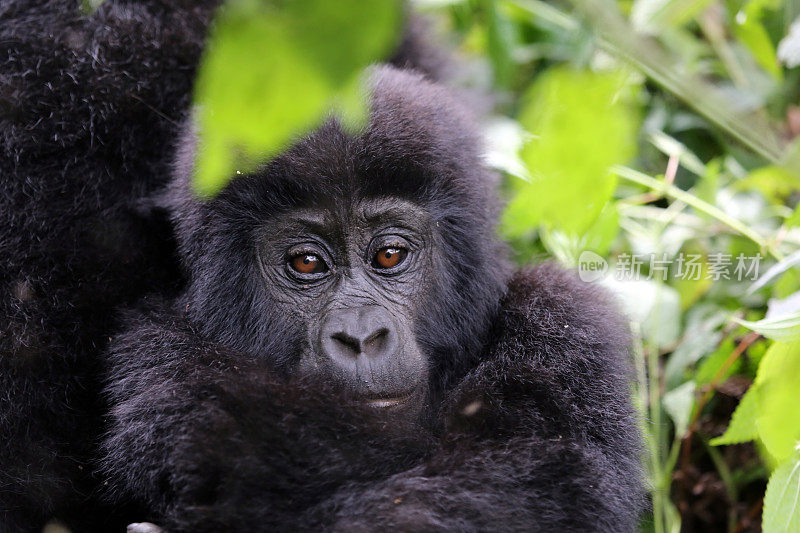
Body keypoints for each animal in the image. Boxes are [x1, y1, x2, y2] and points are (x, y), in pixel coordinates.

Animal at [104, 65, 644, 528]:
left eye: (389, 254)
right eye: (307, 263)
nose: (361, 336)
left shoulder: (564, 321)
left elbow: (545, 477)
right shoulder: (157, 355)